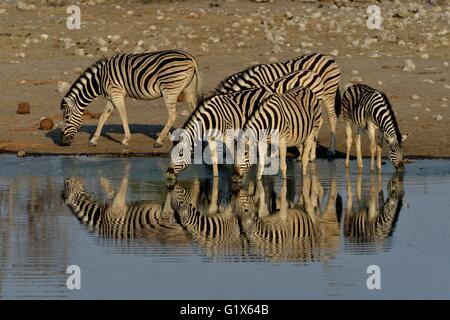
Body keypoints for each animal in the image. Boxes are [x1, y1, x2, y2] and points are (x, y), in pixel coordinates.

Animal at [59, 49, 202, 148]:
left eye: (67, 117)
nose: (63, 142)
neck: (99, 79)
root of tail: (191, 58)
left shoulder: (116, 93)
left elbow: (123, 115)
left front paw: (126, 139)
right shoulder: (112, 96)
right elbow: (103, 116)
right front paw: (94, 140)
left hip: (169, 90)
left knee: (172, 115)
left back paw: (159, 141)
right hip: (189, 90)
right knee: (195, 111)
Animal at [165, 69, 324, 179]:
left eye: (180, 154)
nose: (168, 174)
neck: (211, 118)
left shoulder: (229, 136)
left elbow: (232, 156)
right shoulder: (211, 138)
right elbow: (215, 158)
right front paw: (216, 178)